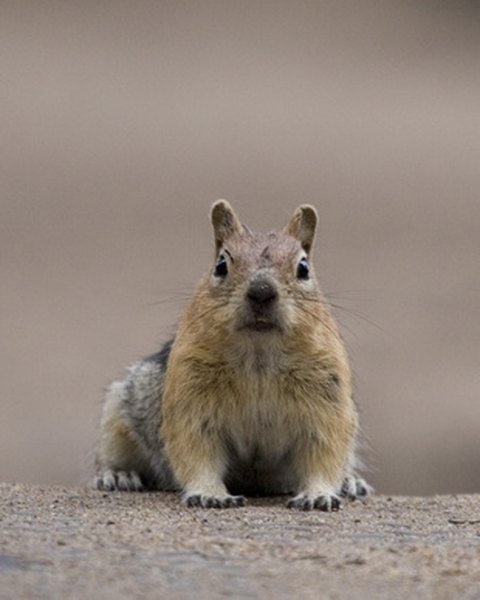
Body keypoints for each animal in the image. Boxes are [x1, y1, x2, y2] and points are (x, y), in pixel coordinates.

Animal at [94, 202, 372, 510]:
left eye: (303, 267)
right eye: (221, 265)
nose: (261, 292)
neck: (259, 353)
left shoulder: (326, 404)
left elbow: (324, 454)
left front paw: (319, 495)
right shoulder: (192, 401)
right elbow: (197, 453)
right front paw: (209, 494)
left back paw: (351, 482)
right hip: (116, 418)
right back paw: (118, 475)